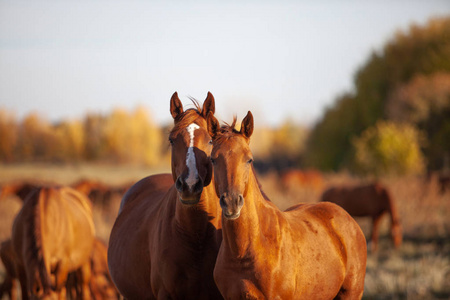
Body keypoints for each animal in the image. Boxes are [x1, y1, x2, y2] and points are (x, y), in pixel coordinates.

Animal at [207, 112, 366, 300]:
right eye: (213, 159)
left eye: (249, 159)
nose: (231, 203)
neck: (243, 252)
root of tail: (349, 220)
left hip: (351, 294)